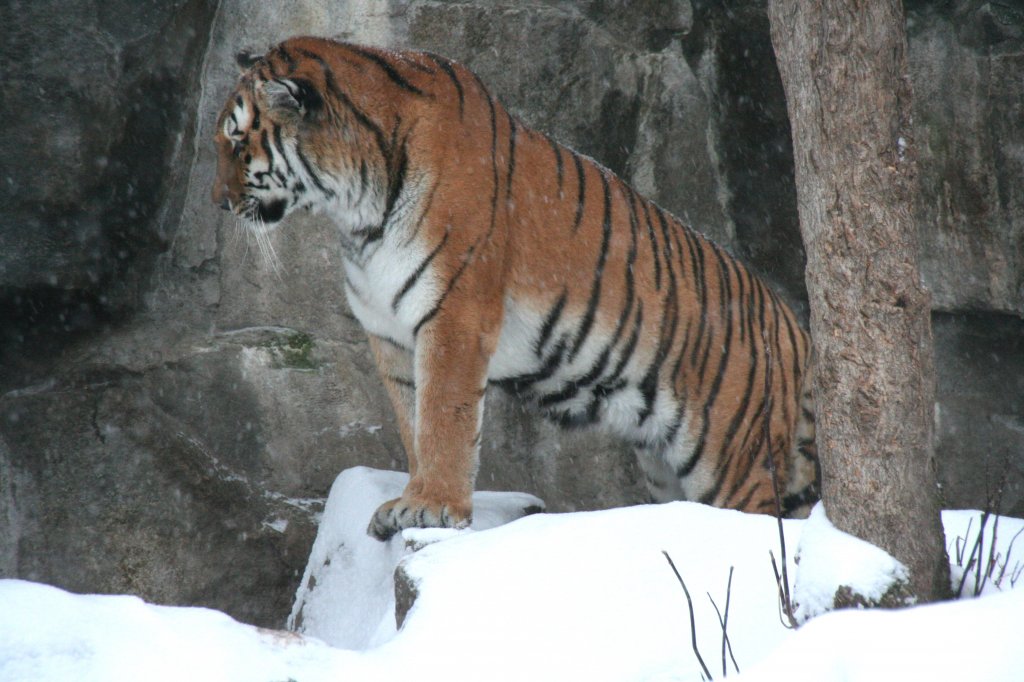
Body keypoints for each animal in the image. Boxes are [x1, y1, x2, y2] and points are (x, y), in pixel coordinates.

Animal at [211, 37, 819, 540]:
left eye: (238, 143)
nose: (217, 202)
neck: (355, 211)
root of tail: (795, 325)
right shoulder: (389, 332)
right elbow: (413, 420)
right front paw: (408, 500)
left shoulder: (455, 312)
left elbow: (445, 417)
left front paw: (432, 506)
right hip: (662, 462)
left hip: (731, 458)